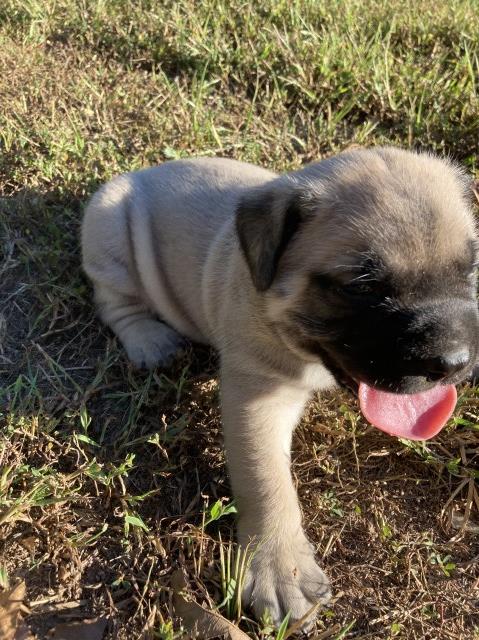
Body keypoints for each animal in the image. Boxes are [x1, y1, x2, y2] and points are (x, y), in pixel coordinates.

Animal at [81, 148, 479, 628]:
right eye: (361, 288)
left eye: (470, 268)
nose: (453, 362)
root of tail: (140, 173)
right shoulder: (257, 396)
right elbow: (266, 481)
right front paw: (279, 569)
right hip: (108, 233)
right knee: (115, 302)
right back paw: (149, 341)